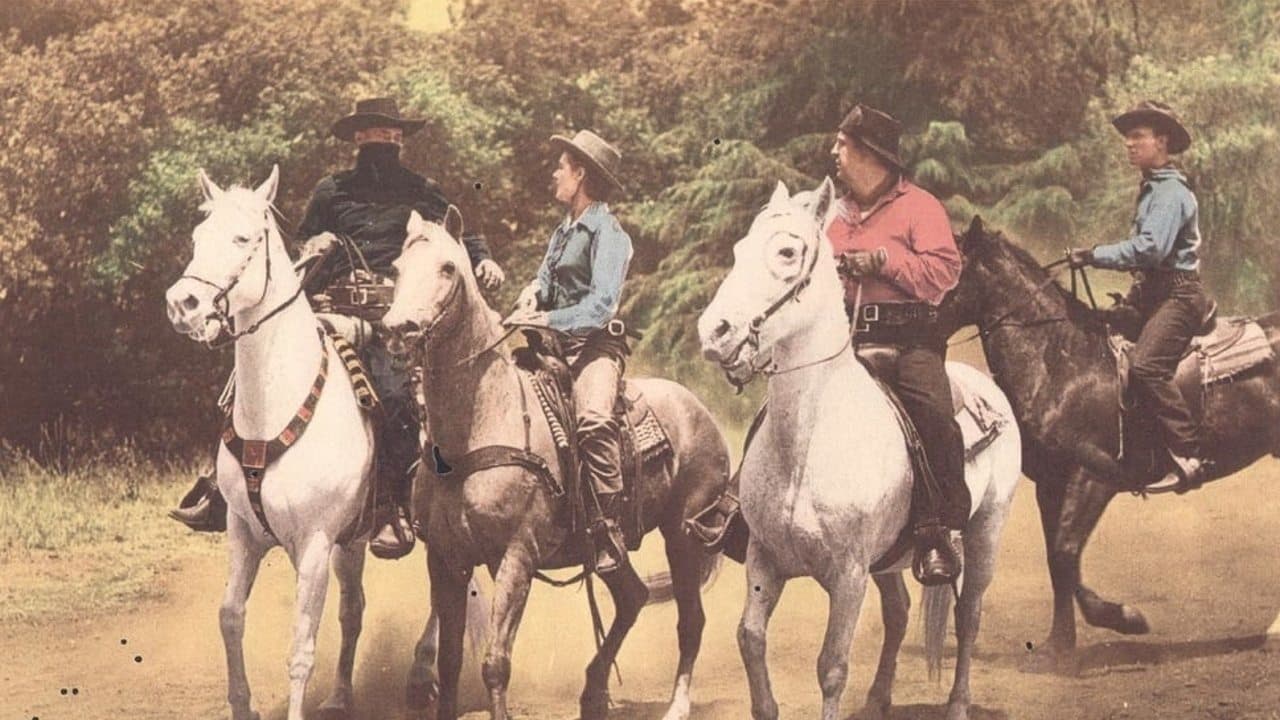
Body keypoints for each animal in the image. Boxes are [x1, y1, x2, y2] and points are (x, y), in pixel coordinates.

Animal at [165, 166, 371, 717]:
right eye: (197, 237)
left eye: (243, 238)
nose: (182, 304)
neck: (274, 410)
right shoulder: (243, 531)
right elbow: (230, 617)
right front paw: (243, 704)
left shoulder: (315, 544)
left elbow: (300, 648)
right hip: (353, 540)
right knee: (353, 608)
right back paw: (341, 696)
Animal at [696, 179, 1024, 717]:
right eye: (739, 250)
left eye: (787, 252)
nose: (714, 332)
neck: (808, 443)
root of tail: (982, 387)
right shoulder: (765, 560)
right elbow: (750, 639)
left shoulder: (848, 574)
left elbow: (832, 666)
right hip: (889, 560)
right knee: (899, 612)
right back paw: (878, 698)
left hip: (985, 534)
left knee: (968, 616)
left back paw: (957, 703)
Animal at [936, 217, 1280, 661]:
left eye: (947, 265)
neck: (1064, 361)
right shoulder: (1051, 484)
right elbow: (1058, 560)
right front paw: (1059, 644)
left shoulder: (1095, 477)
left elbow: (1066, 551)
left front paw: (1123, 619)